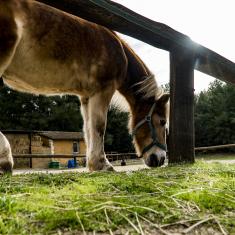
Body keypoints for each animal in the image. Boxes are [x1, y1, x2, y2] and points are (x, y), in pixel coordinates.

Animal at [0, 0, 169, 173]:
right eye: (162, 122)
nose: (161, 158)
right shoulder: (103, 90)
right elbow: (99, 126)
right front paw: (102, 164)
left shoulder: (86, 96)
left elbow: (88, 128)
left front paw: (93, 163)